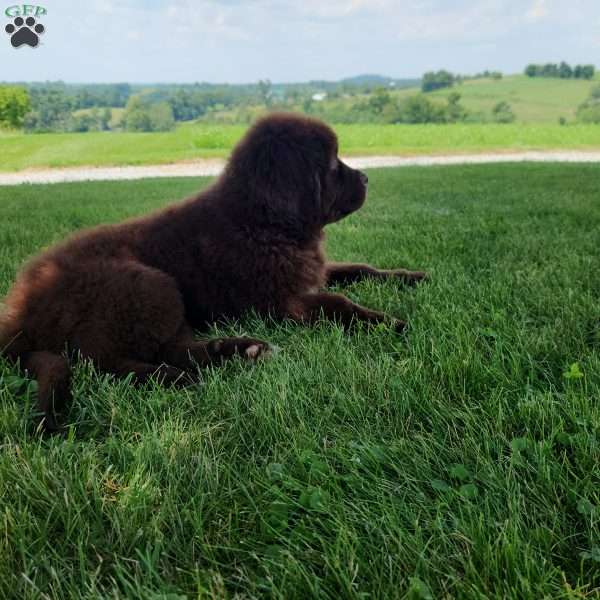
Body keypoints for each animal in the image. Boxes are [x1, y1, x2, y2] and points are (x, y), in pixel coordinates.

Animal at [0, 113, 426, 432]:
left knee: (171, 347)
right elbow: (338, 303)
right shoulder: (283, 301)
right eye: (333, 164)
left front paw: (410, 277)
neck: (265, 222)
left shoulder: (311, 273)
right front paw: (390, 322)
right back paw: (177, 377)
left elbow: (358, 268)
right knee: (99, 361)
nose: (367, 178)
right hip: (147, 285)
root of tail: (20, 315)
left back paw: (239, 350)